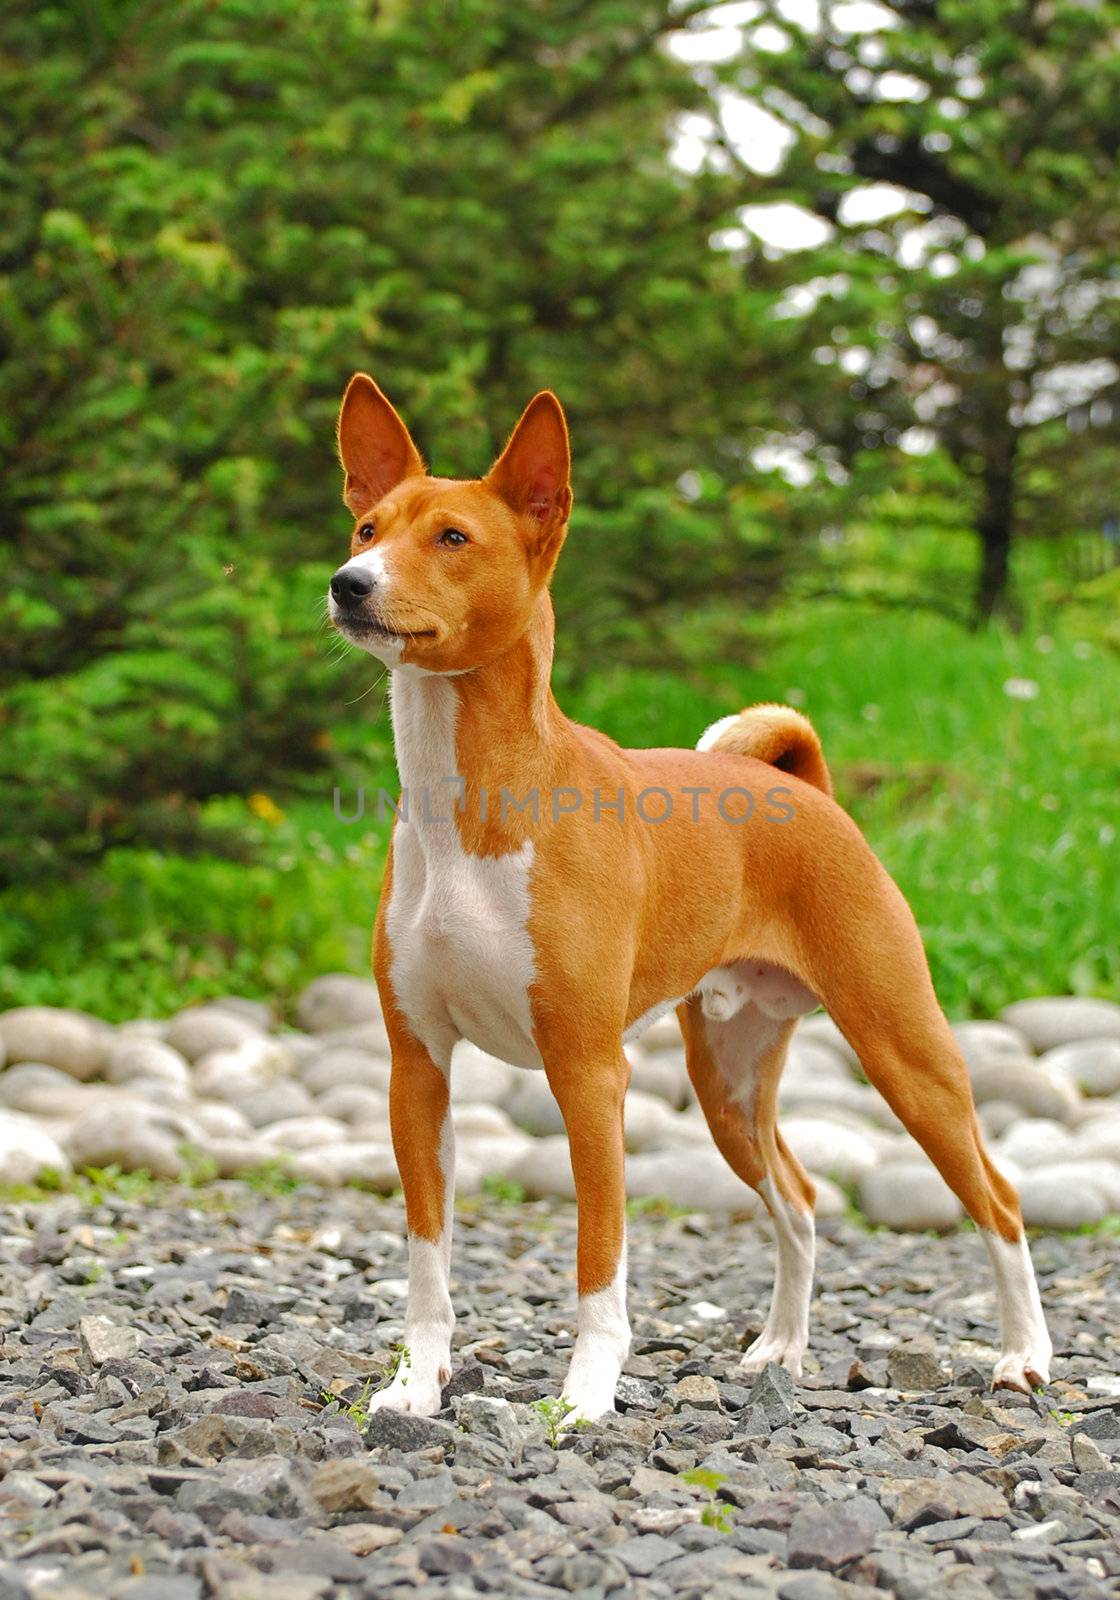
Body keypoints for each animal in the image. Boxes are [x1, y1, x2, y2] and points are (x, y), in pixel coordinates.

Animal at [328, 377, 1056, 1427]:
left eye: (453, 537)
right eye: (366, 526)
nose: (348, 583)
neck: (469, 810)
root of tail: (808, 788)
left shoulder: (590, 1073)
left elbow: (600, 1262)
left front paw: (585, 1397)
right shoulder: (416, 1069)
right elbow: (428, 1263)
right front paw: (414, 1386)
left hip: (906, 1052)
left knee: (997, 1199)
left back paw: (1024, 1356)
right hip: (730, 1081)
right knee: (798, 1198)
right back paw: (781, 1348)